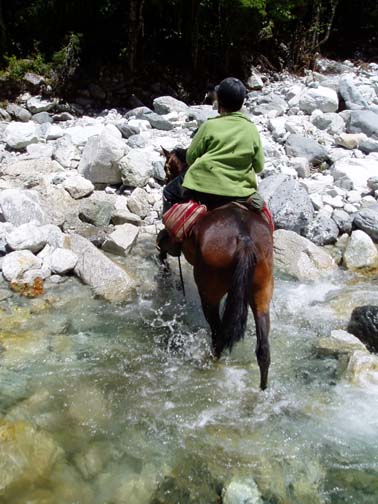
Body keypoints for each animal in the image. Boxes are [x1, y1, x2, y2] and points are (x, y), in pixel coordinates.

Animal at [161, 148, 274, 388]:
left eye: (166, 167)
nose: (165, 180)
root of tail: (244, 239)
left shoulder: (171, 240)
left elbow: (160, 243)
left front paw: (164, 270)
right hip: (262, 291)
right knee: (263, 350)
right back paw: (262, 389)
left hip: (209, 292)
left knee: (218, 336)